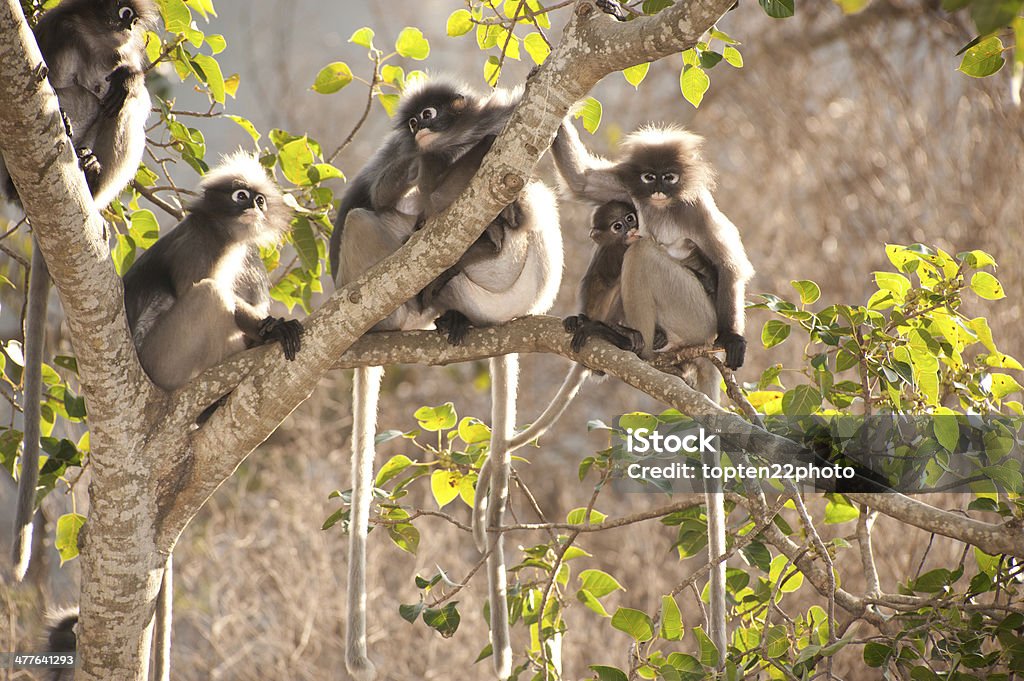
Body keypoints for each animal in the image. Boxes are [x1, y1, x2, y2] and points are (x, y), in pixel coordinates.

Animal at [0, 0, 157, 585]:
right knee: (65, 99)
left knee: (129, 102)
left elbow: (131, 83)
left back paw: (90, 174)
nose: (127, 30)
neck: (94, 40)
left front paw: (127, 75)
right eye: (124, 14)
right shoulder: (56, 29)